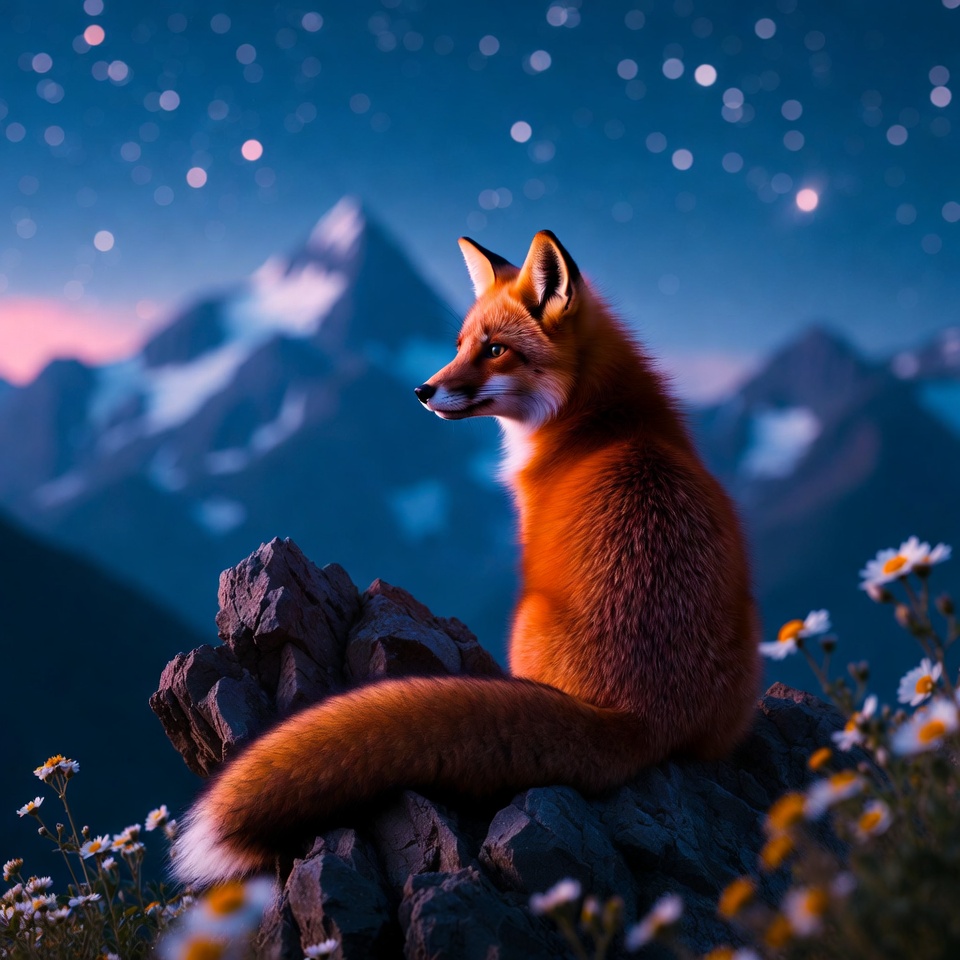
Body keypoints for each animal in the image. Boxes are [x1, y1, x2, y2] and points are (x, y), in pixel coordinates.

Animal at [171, 230, 761, 888]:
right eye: (459, 345)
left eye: (497, 350)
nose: (422, 390)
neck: (602, 423)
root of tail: (642, 714)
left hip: (524, 616)